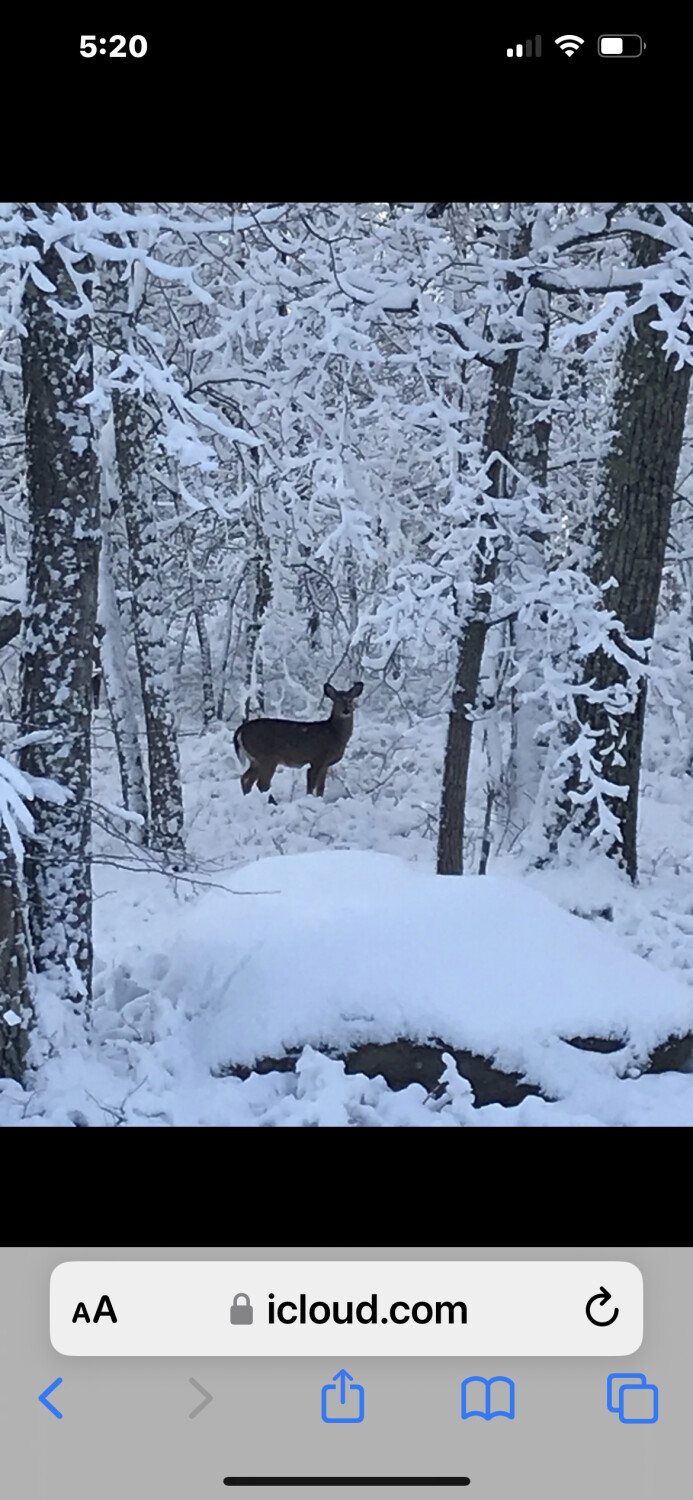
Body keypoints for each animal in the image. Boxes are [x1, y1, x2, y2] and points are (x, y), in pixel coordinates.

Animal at [234, 681, 364, 799]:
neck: (334, 733)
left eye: (350, 700)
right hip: (266, 757)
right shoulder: (316, 759)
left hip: (255, 760)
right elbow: (311, 786)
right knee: (262, 784)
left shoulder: (325, 764)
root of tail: (240, 730)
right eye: (336, 700)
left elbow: (321, 788)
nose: (346, 710)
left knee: (245, 779)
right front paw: (309, 799)